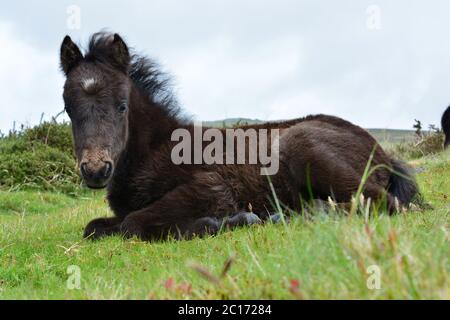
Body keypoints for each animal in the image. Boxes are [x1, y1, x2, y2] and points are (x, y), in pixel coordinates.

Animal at [60, 33, 422, 242]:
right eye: (68, 108)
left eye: (122, 106)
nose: (96, 171)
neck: (157, 149)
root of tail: (382, 152)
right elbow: (95, 227)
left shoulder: (212, 188)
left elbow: (134, 224)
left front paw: (230, 221)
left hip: (309, 150)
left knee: (382, 204)